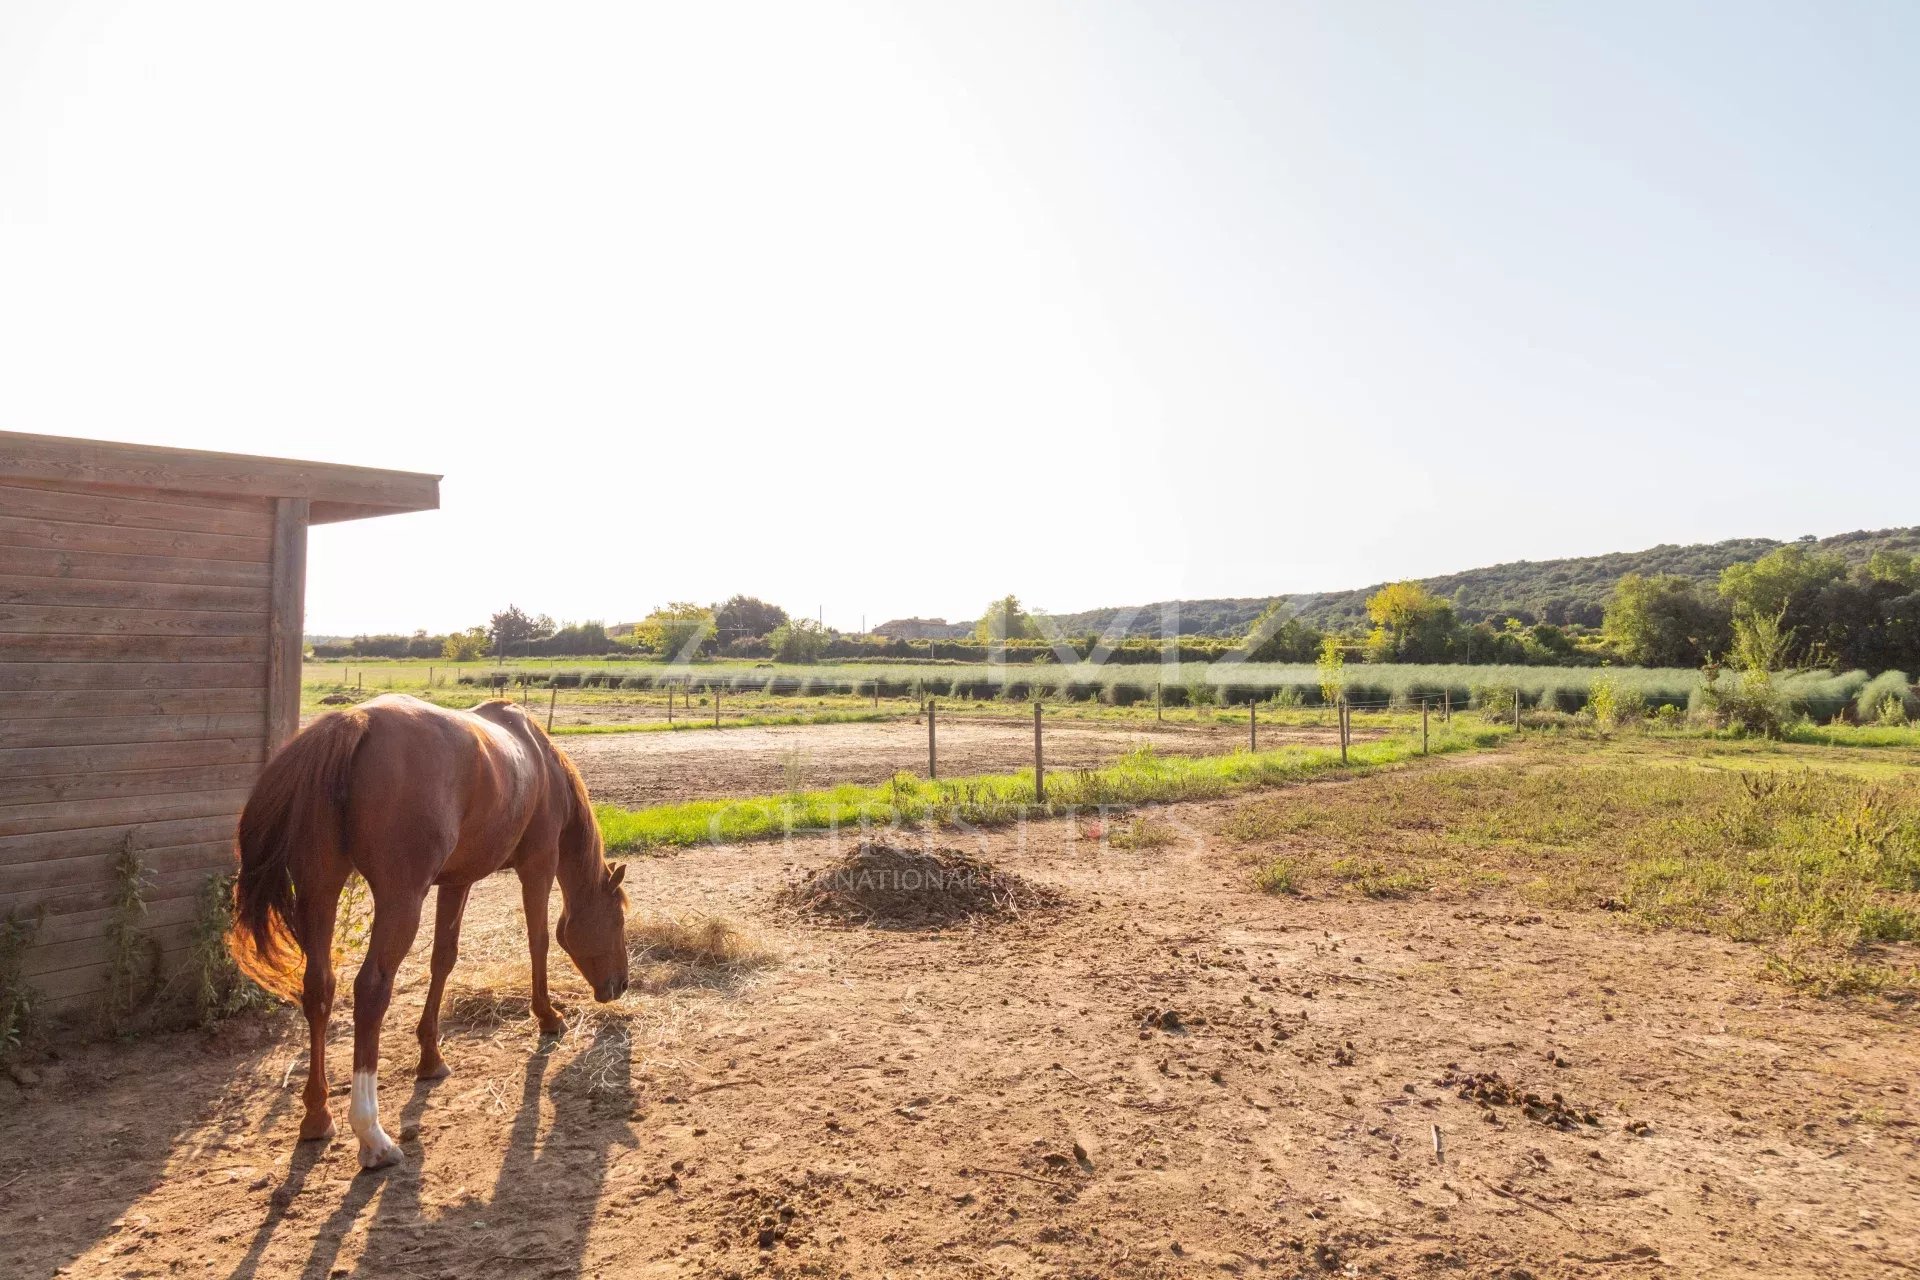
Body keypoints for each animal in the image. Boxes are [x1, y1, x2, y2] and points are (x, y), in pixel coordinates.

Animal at [224, 690, 629, 1174]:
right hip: (400, 900)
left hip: (319, 890)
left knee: (319, 988)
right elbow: (539, 941)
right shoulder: (538, 866)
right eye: (619, 920)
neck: (540, 763)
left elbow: (443, 959)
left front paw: (431, 1056)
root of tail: (354, 721)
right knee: (371, 990)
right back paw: (372, 1135)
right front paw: (548, 1016)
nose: (621, 984)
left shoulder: (457, 881)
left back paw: (318, 1115)